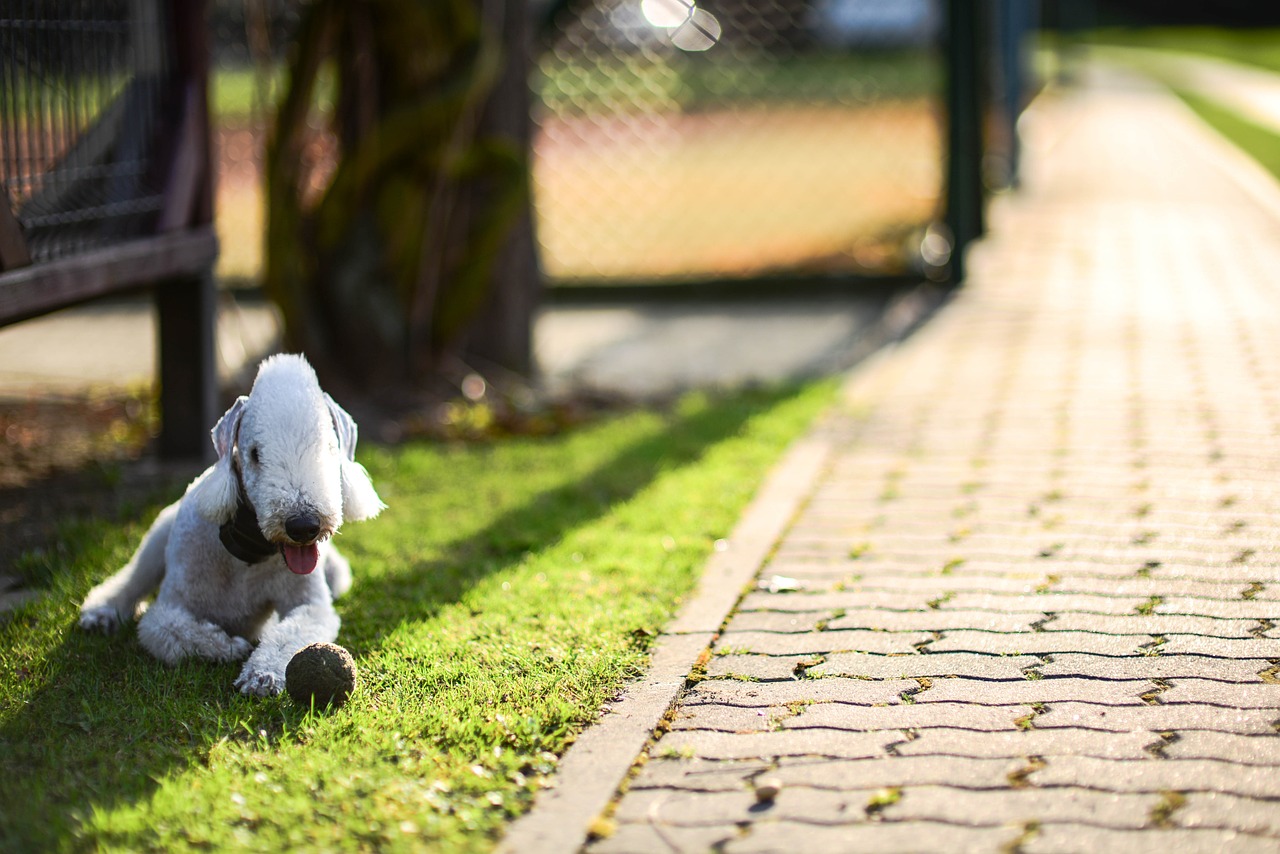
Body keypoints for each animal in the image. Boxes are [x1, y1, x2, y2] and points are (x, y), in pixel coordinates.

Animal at [76, 353, 378, 696]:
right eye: (255, 454)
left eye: (330, 447)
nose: (303, 526)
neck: (247, 552)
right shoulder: (173, 603)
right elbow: (167, 628)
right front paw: (229, 646)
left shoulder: (310, 604)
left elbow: (291, 632)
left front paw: (262, 674)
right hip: (159, 533)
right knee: (134, 577)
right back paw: (101, 613)